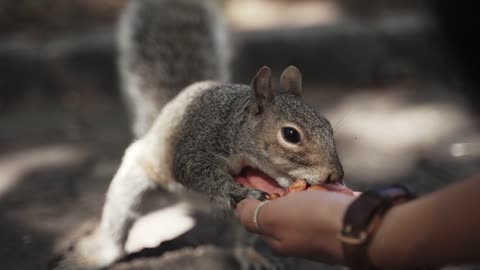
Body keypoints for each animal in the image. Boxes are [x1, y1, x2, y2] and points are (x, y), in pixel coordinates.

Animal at [54, 0, 344, 270]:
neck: (235, 129)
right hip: (133, 181)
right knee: (119, 222)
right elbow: (193, 171)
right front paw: (237, 190)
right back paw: (100, 255)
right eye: (291, 135)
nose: (336, 175)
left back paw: (250, 255)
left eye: (328, 124)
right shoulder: (195, 143)